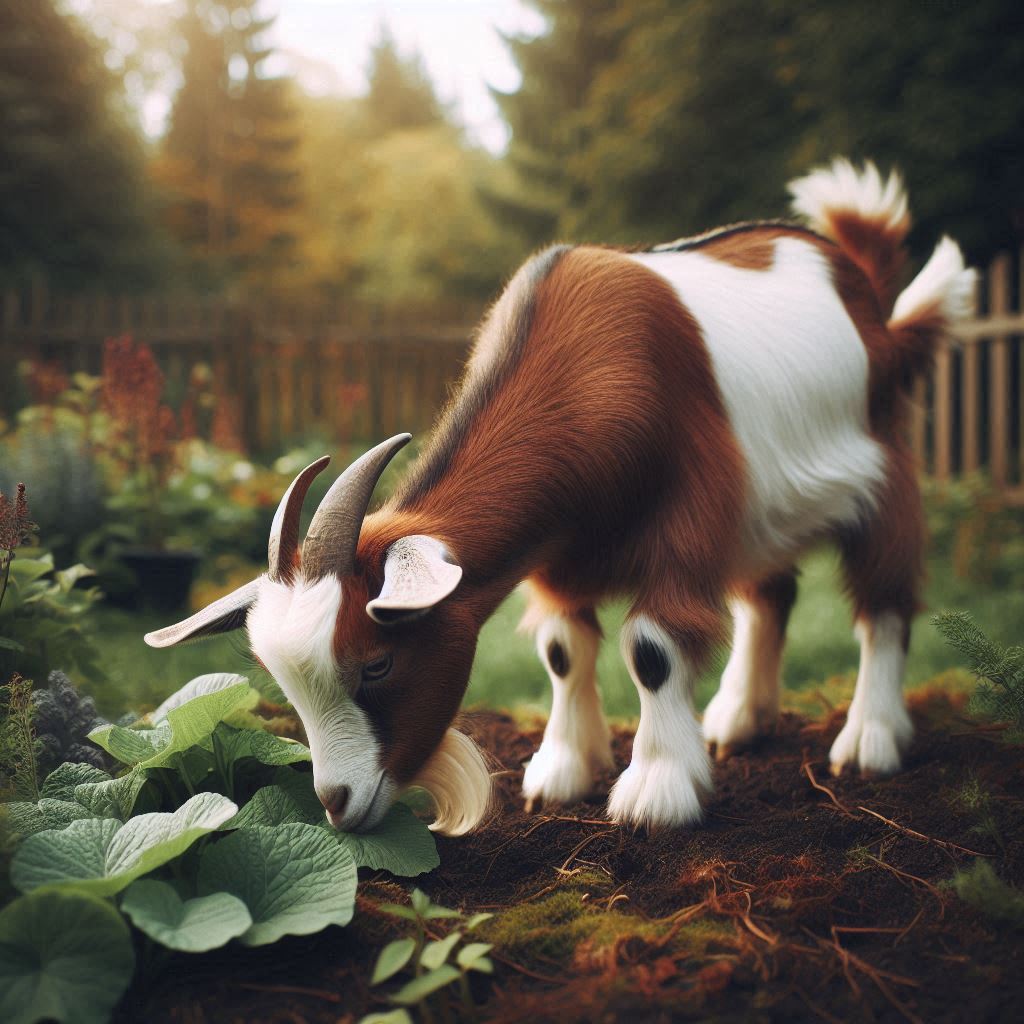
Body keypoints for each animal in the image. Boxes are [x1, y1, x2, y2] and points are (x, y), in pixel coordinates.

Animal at [148, 159, 976, 835]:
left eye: (375, 665)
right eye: (288, 690)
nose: (340, 806)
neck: (596, 369)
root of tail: (866, 291)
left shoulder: (689, 516)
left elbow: (652, 649)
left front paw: (656, 793)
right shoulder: (557, 551)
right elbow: (561, 648)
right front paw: (564, 772)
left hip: (883, 471)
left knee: (884, 602)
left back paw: (869, 740)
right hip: (762, 509)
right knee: (768, 594)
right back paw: (740, 719)